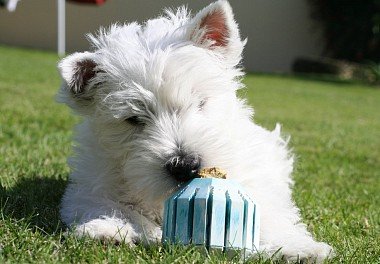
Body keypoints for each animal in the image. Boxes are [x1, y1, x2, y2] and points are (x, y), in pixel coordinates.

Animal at [56, 0, 332, 262]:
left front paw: (299, 248)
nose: (184, 165)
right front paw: (107, 229)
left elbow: (269, 216)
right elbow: (109, 205)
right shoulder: (92, 185)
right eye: (133, 119)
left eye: (200, 102)